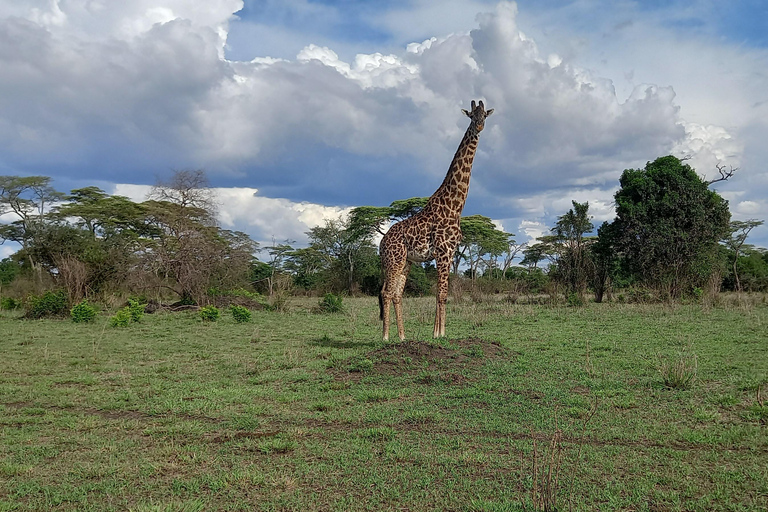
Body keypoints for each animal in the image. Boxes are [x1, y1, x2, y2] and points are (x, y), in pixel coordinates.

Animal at [376, 99, 492, 340]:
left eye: (485, 115)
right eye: (471, 116)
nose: (479, 127)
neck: (455, 207)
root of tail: (381, 243)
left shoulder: (449, 253)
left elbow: (441, 293)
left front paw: (436, 332)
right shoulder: (443, 252)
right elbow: (442, 294)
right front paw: (440, 333)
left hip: (406, 262)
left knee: (397, 294)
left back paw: (403, 337)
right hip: (394, 260)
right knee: (386, 292)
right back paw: (385, 337)